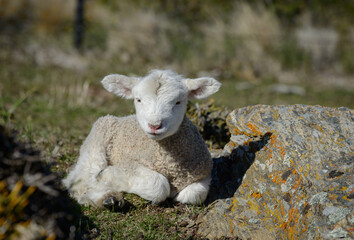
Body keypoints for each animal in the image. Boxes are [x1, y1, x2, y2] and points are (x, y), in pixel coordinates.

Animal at [62, 69, 220, 208]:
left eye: (178, 102)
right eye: (138, 100)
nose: (155, 125)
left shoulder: (204, 174)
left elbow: (193, 195)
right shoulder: (129, 165)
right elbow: (159, 186)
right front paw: (107, 175)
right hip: (96, 143)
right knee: (79, 181)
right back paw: (106, 198)